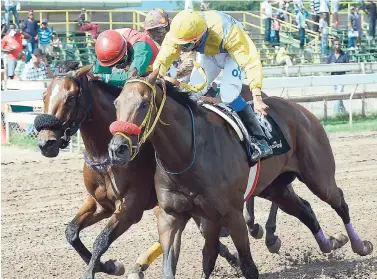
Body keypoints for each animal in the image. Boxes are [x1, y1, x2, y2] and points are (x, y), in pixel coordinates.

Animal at [108, 69, 374, 278]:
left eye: (144, 104)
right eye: (116, 103)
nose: (117, 148)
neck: (187, 155)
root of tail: (301, 109)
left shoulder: (231, 214)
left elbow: (247, 266)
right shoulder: (175, 216)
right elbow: (198, 261)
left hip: (319, 177)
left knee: (339, 201)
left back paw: (360, 245)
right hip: (275, 188)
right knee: (305, 210)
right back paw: (330, 243)